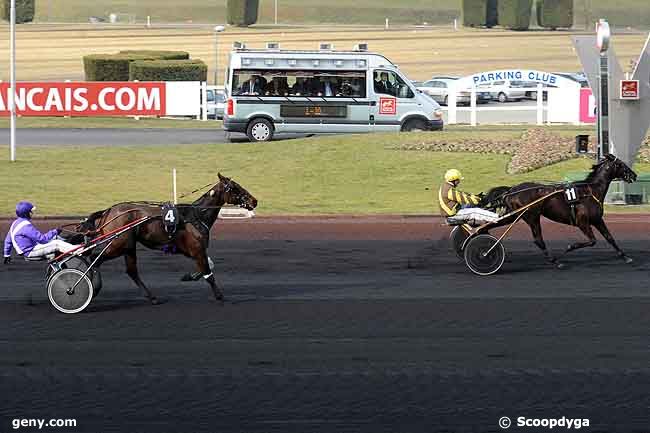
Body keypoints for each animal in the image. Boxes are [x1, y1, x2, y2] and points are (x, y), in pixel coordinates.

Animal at [67, 173, 256, 304]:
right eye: (235, 188)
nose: (254, 201)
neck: (196, 216)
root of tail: (108, 211)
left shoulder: (192, 250)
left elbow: (208, 265)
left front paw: (191, 276)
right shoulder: (196, 248)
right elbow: (208, 273)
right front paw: (219, 295)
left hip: (128, 246)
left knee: (131, 271)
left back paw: (152, 297)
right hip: (118, 244)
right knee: (94, 259)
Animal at [478, 154, 636, 264]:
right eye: (621, 164)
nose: (634, 175)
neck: (590, 192)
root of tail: (512, 190)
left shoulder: (597, 220)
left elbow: (610, 238)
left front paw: (626, 257)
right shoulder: (582, 222)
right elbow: (592, 241)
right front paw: (570, 246)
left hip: (513, 215)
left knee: (492, 223)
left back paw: (482, 234)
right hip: (531, 216)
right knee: (538, 240)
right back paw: (555, 261)